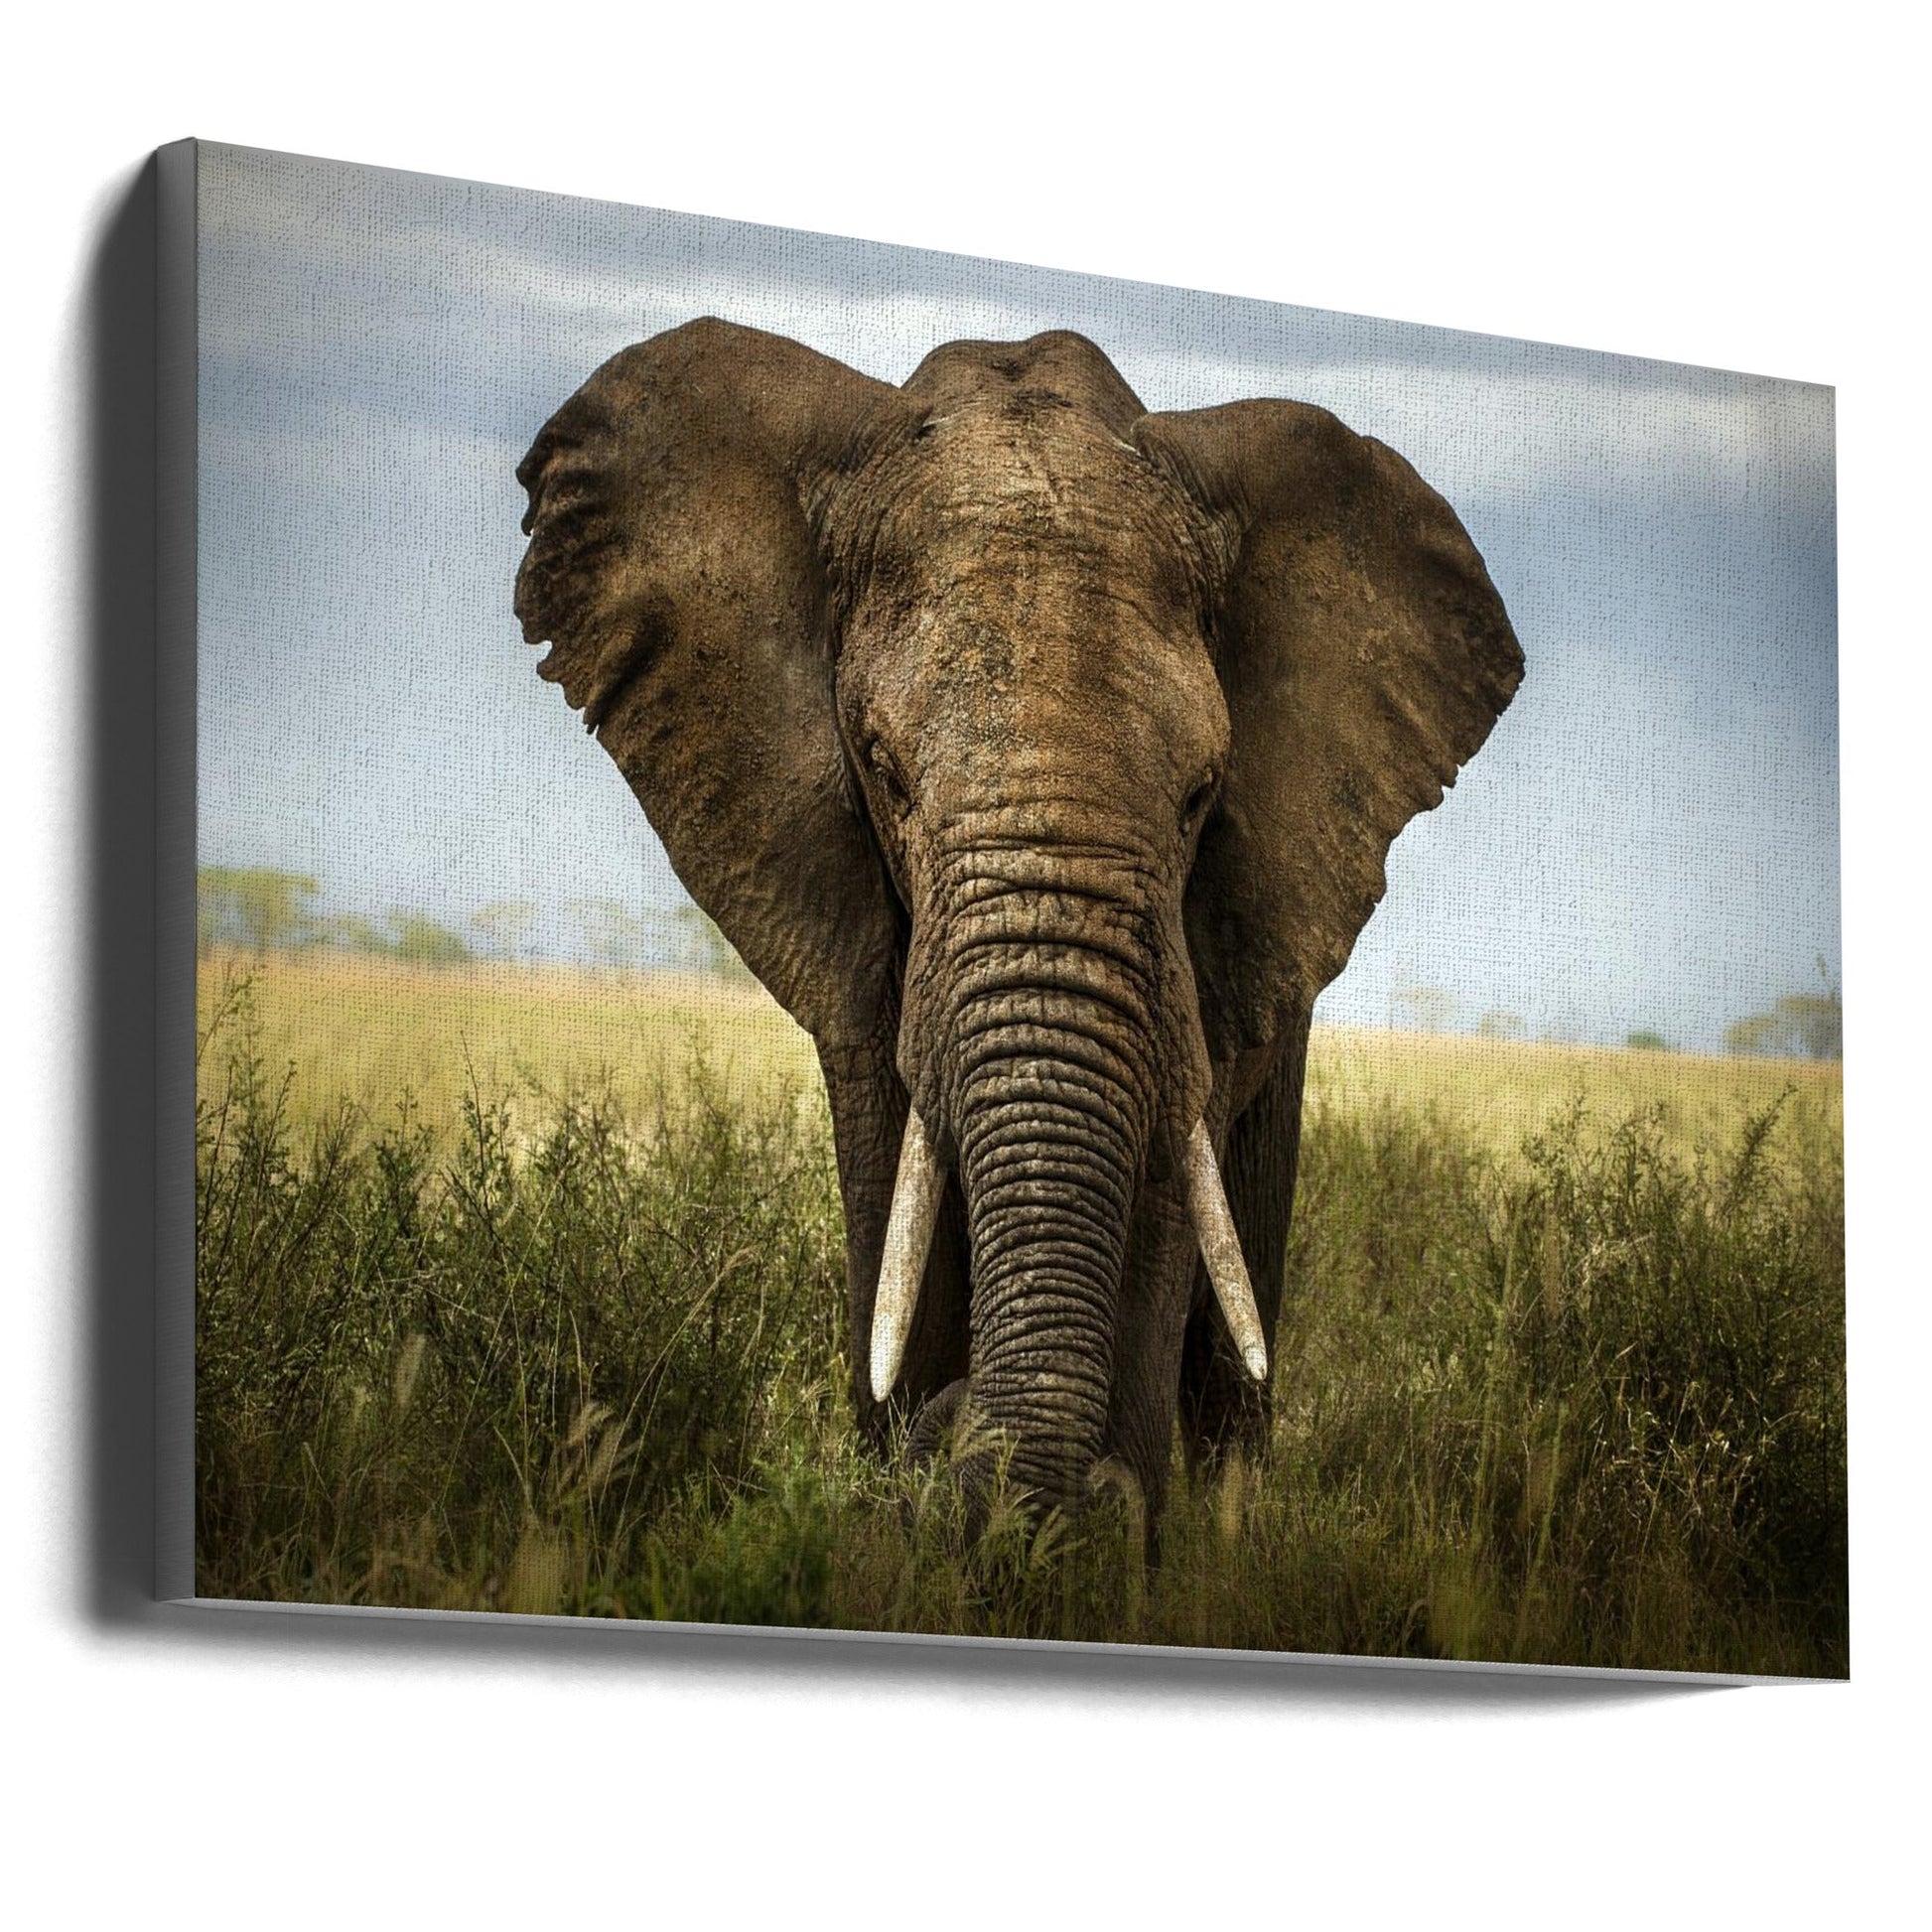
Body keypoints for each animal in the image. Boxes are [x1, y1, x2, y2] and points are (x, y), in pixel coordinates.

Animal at [513, 318, 1522, 1534]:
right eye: (883, 771)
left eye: (1201, 793)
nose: (957, 1432)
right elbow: (891, 1171)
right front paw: (919, 1480)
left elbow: (1164, 1174)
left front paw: (1089, 1530)